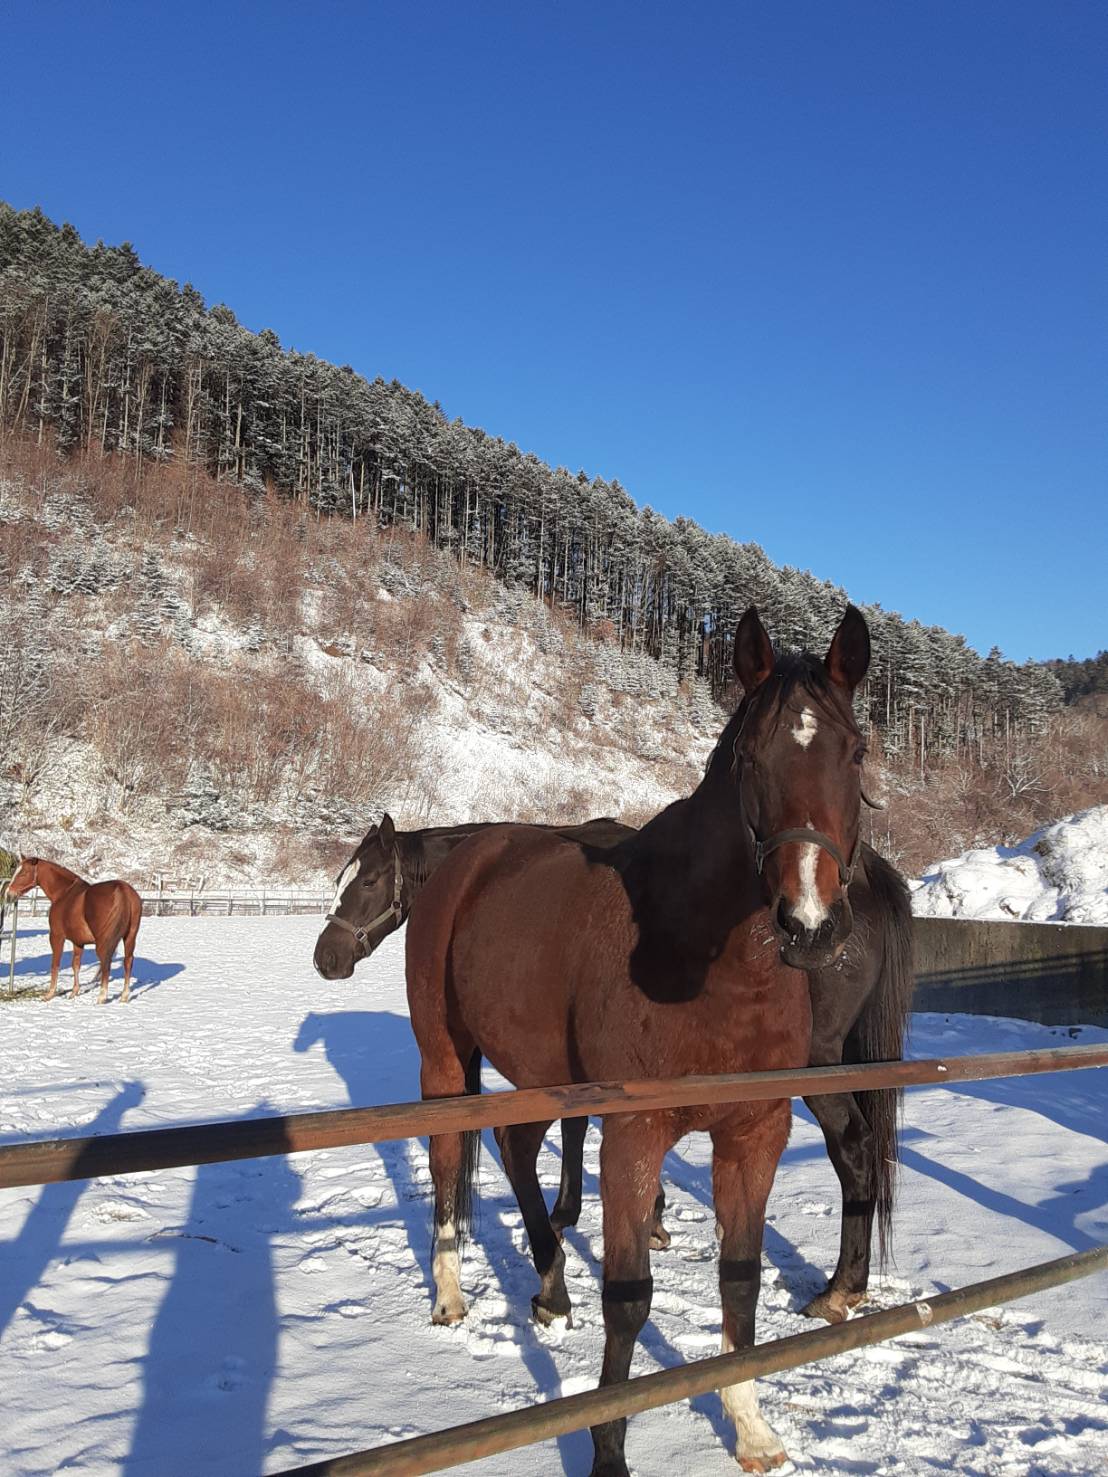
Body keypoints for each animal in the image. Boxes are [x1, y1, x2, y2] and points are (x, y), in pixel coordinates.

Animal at [6, 857, 143, 1004]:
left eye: (23, 873)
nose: (8, 894)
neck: (64, 893)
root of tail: (123, 890)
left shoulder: (56, 937)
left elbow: (55, 964)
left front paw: (49, 994)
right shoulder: (78, 941)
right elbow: (76, 964)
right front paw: (74, 992)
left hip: (104, 942)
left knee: (106, 962)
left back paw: (102, 997)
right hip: (129, 937)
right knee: (127, 961)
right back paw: (124, 996)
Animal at [406, 604, 892, 1474]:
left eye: (856, 751)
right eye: (749, 757)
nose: (808, 924)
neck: (706, 965)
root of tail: (469, 857)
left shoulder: (755, 1134)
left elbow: (741, 1280)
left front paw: (750, 1427)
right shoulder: (633, 1135)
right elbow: (629, 1300)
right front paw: (608, 1450)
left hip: (540, 1069)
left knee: (515, 1146)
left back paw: (549, 1288)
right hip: (445, 1060)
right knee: (450, 1157)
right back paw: (453, 1292)